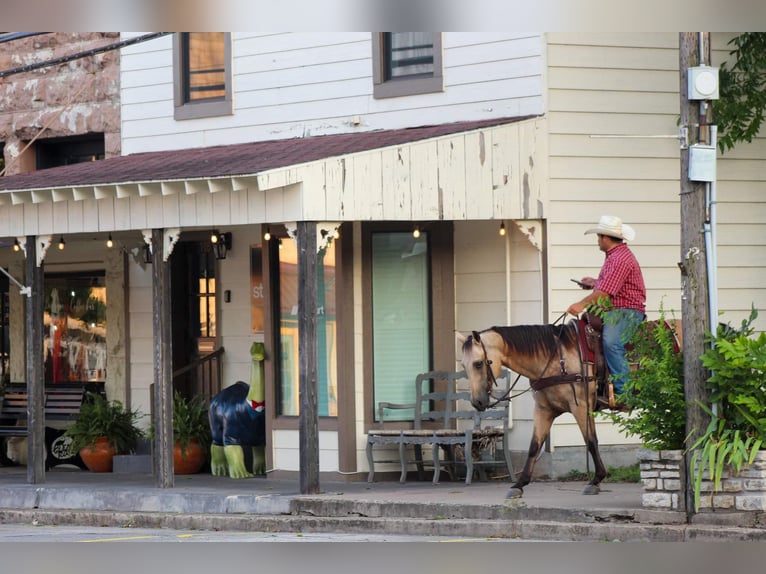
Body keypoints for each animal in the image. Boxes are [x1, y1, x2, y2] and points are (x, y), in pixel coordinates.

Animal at [460, 318, 688, 502]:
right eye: (463, 366)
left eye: (478, 363)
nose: (477, 402)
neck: (553, 358)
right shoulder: (543, 410)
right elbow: (534, 446)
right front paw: (518, 485)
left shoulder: (581, 406)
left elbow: (591, 441)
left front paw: (595, 481)